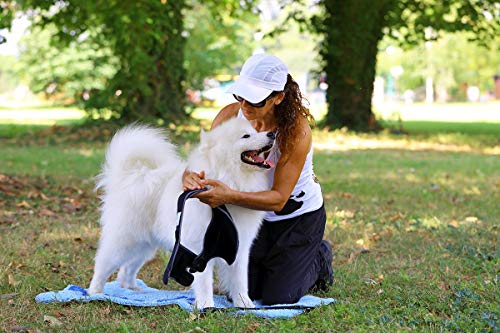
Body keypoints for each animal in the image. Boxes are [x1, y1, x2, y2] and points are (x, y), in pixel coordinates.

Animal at [86, 118, 274, 308]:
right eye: (246, 136)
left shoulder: (239, 247)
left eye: (255, 131)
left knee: (127, 269)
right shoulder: (199, 249)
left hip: (144, 244)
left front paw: (244, 304)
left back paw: (134, 290)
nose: (272, 134)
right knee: (103, 264)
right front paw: (206, 306)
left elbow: (239, 280)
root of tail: (132, 175)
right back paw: (95, 292)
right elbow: (204, 282)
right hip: (125, 239)